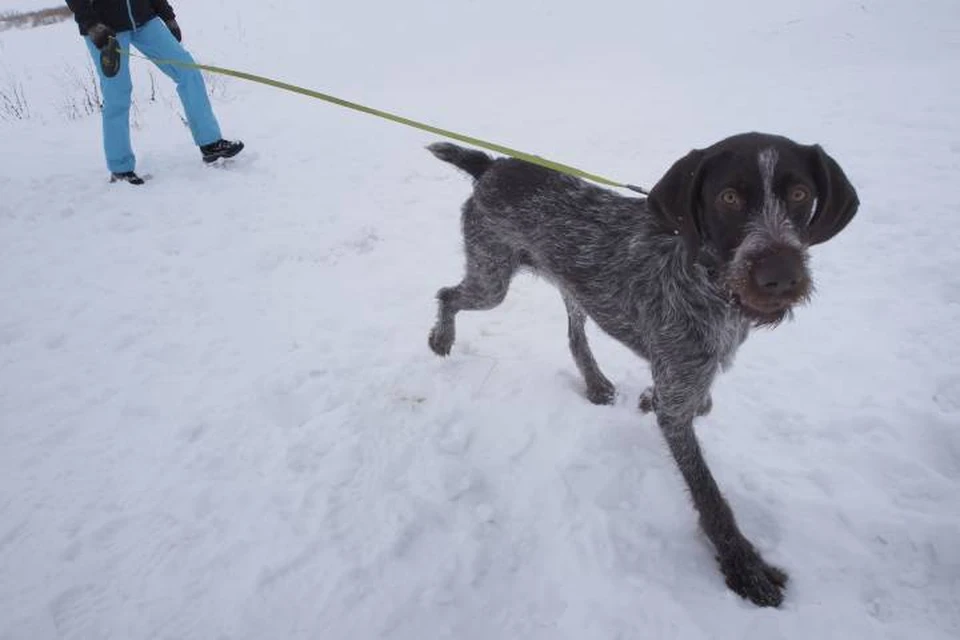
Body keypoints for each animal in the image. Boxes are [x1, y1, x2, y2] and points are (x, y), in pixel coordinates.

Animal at [424, 132, 860, 608]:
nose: (779, 276)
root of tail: (491, 165)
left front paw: (649, 396)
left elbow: (697, 403)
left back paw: (595, 383)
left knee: (574, 335)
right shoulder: (678, 397)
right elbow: (708, 493)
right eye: (728, 197)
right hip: (491, 279)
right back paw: (441, 337)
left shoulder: (689, 378)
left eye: (800, 194)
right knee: (447, 294)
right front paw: (743, 566)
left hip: (570, 284)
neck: (710, 282)